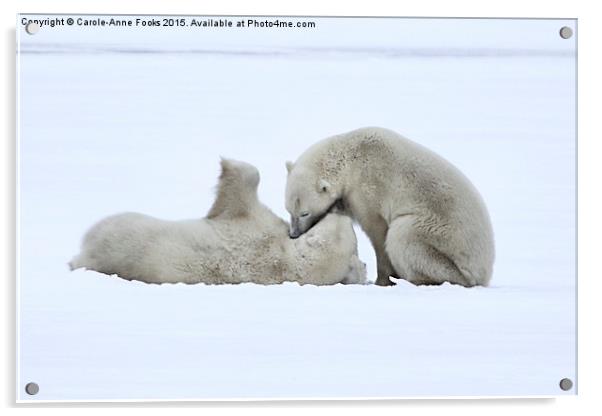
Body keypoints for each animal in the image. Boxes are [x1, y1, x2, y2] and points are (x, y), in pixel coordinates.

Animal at [284, 127, 494, 288]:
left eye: (304, 213)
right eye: (289, 210)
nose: (293, 234)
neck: (351, 154)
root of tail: (484, 272)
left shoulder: (368, 187)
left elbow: (378, 230)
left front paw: (382, 280)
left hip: (442, 244)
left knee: (403, 235)